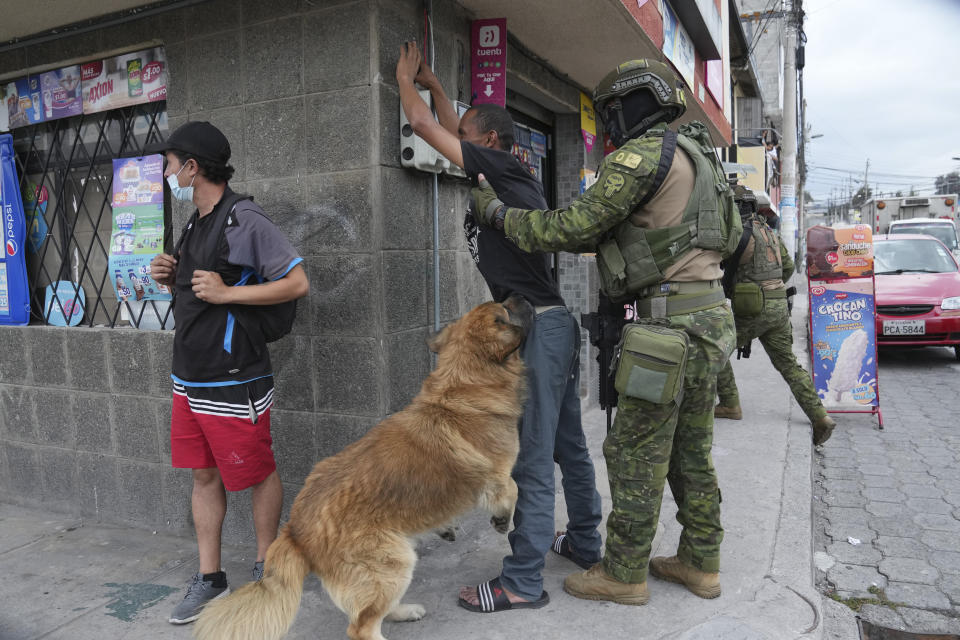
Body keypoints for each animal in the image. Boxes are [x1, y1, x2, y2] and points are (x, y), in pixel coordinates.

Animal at [194, 296, 532, 640]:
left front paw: (446, 527)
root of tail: (295, 528)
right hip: (392, 565)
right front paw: (502, 520)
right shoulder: (498, 474)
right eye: (505, 308)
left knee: (373, 613)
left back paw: (405, 610)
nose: (521, 296)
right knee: (362, 626)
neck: (463, 385)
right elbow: (513, 491)